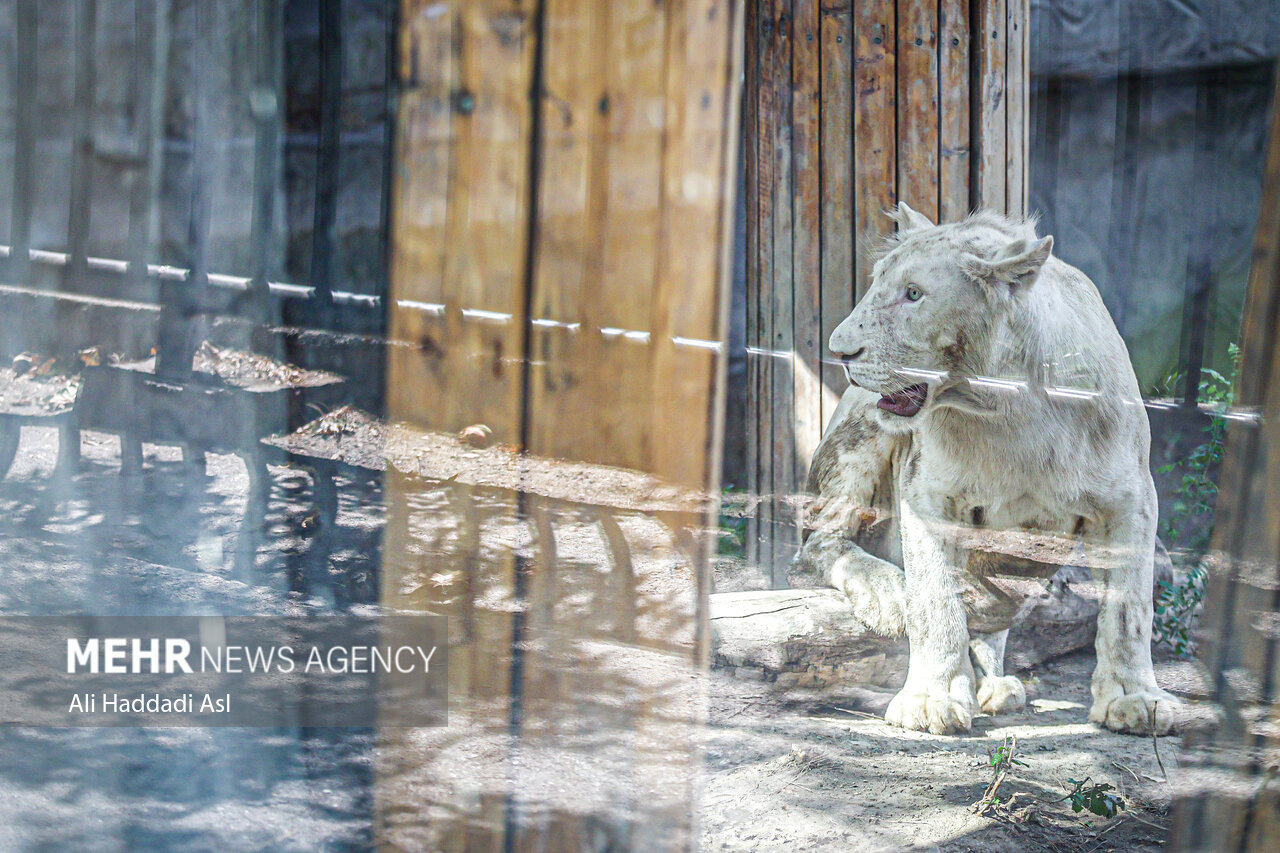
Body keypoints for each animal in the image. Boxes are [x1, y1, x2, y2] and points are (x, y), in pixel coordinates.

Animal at [793, 202, 1182, 732]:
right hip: (855, 438)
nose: (838, 350)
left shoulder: (1131, 500)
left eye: (913, 294)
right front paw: (931, 698)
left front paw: (1134, 698)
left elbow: (1130, 608)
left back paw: (993, 683)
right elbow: (935, 597)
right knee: (817, 545)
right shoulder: (925, 492)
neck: (1008, 408)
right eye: (877, 284)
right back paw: (887, 591)